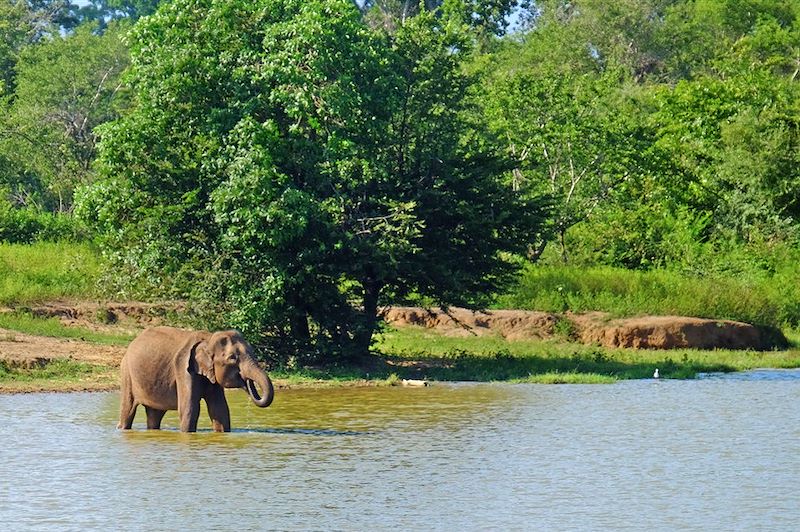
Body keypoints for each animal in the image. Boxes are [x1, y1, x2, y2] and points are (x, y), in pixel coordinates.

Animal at [118, 324, 276, 432]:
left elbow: (219, 409)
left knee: (155, 414)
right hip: (127, 373)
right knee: (128, 410)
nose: (247, 381)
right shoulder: (183, 369)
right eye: (232, 358)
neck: (208, 339)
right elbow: (190, 408)